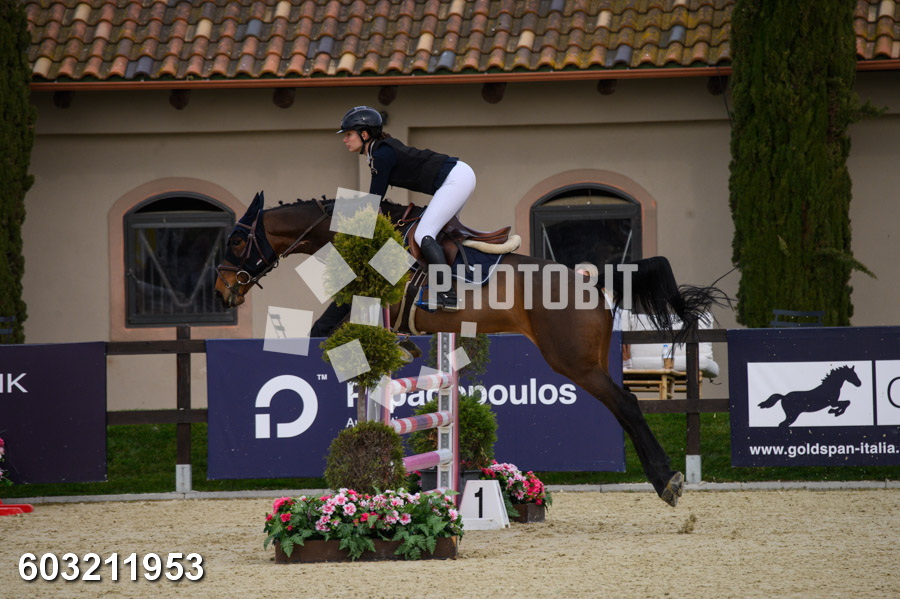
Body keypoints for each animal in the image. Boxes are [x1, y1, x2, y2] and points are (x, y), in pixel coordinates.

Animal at [214, 193, 725, 507]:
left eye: (237, 241)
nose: (222, 292)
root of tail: (589, 278)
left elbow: (328, 327)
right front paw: (400, 350)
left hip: (574, 362)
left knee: (627, 404)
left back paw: (667, 482)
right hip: (591, 358)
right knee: (626, 404)